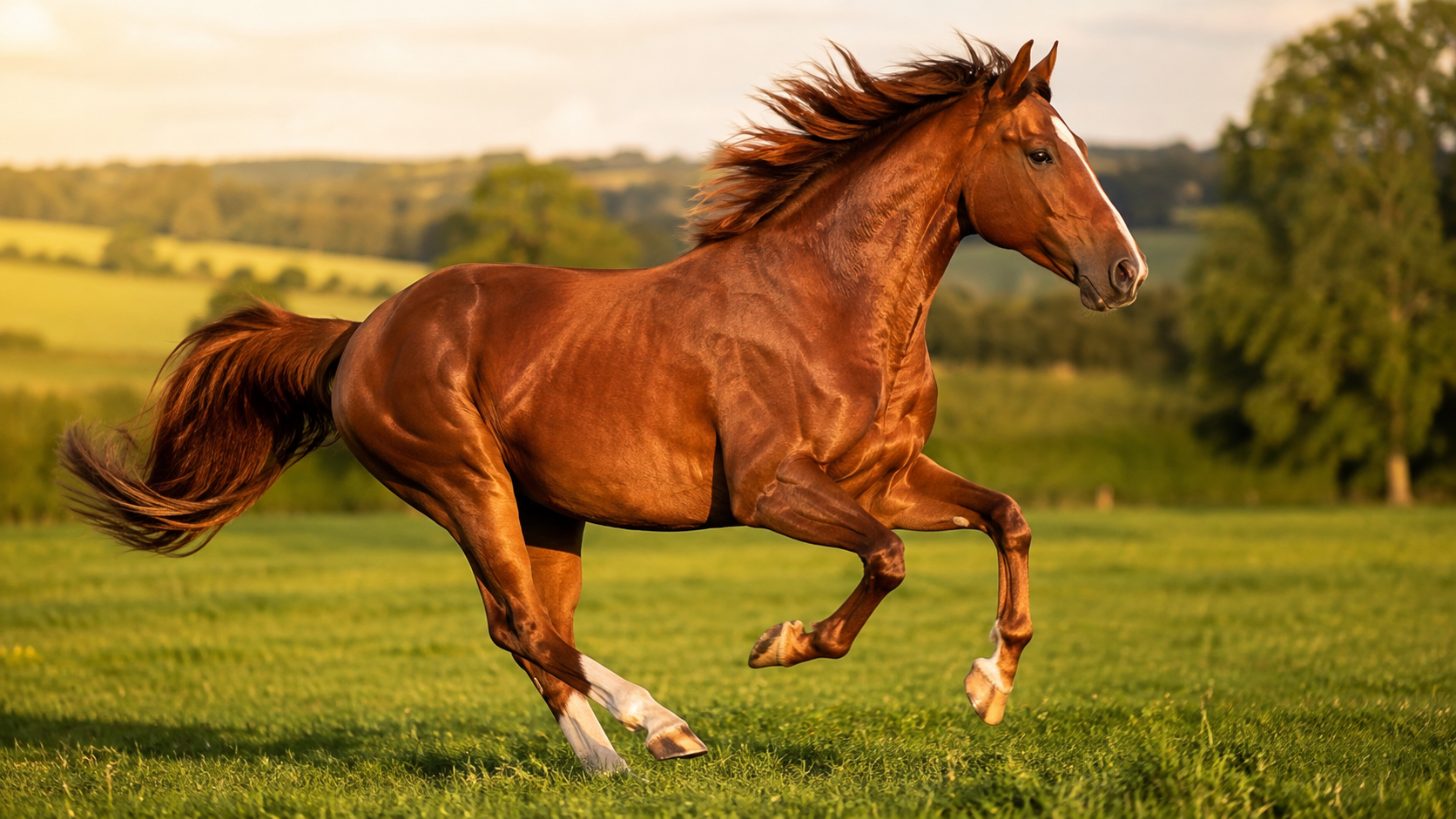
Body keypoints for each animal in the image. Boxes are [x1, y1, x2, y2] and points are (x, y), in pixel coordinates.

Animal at [61, 38, 1146, 774]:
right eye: (1039, 153)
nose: (1124, 273)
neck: (830, 302)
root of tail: (360, 333)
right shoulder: (773, 490)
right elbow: (886, 560)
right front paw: (782, 644)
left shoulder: (887, 477)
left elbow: (1007, 517)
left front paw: (990, 686)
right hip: (464, 484)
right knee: (523, 627)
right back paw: (664, 729)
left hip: (548, 511)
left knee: (532, 634)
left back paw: (611, 762)